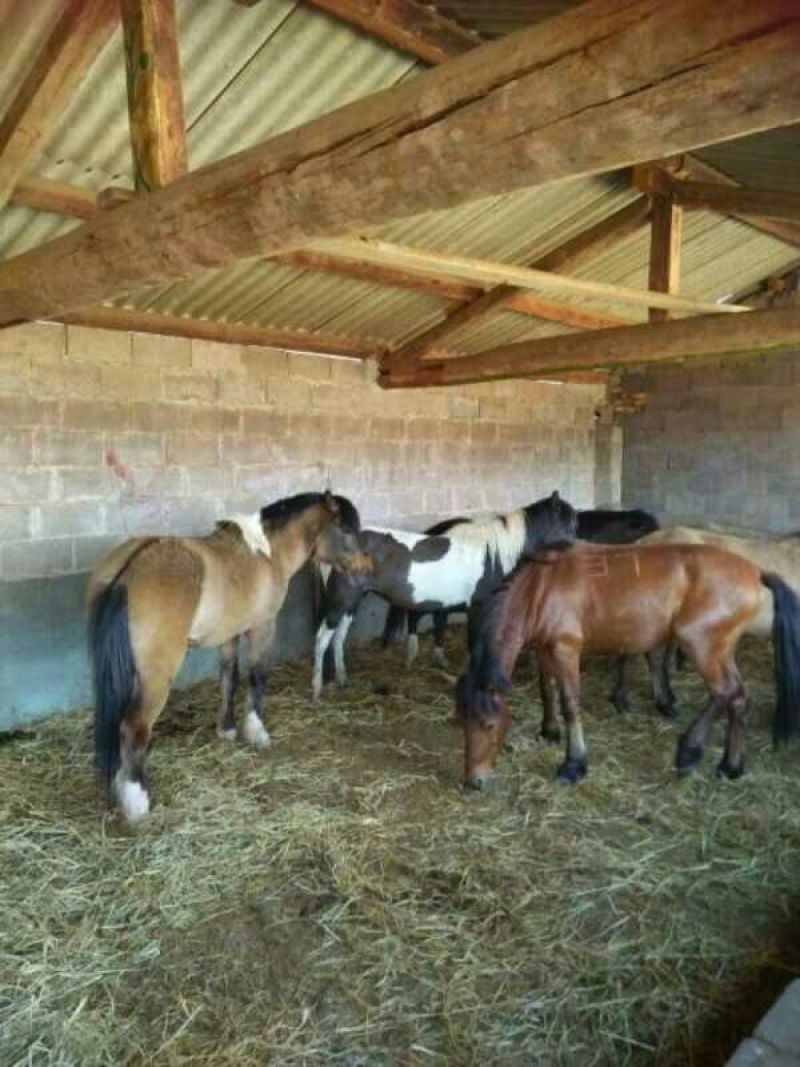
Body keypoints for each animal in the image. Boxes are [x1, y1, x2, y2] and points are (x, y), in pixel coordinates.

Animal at [88, 491, 370, 823]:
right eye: (347, 530)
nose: (366, 572)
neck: (267, 553)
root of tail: (128, 571)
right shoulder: (262, 628)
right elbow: (256, 678)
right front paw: (256, 732)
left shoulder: (229, 635)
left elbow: (229, 679)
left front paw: (227, 729)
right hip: (155, 678)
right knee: (134, 728)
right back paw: (137, 802)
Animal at [312, 492, 578, 699]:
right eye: (570, 523)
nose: (579, 554)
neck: (496, 554)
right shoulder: (478, 606)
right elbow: (475, 643)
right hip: (340, 601)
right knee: (323, 638)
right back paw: (316, 689)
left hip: (352, 602)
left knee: (339, 637)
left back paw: (342, 679)